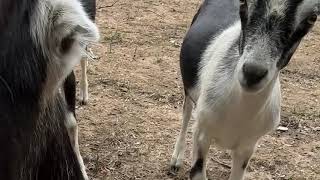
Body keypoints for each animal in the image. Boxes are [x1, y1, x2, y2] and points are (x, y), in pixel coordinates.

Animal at [170, 0, 318, 180]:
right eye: (243, 3)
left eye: (312, 18)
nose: (253, 73)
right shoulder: (202, 133)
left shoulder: (248, 146)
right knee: (186, 112)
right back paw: (176, 160)